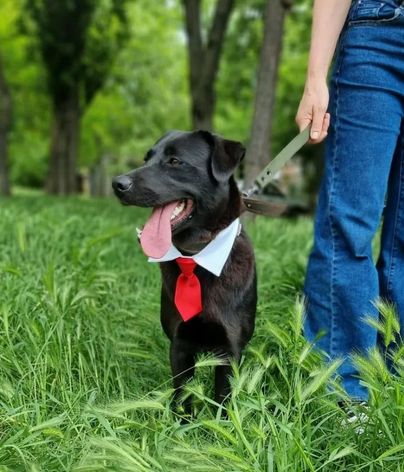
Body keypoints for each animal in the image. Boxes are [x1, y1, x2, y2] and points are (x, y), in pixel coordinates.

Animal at [112, 131, 256, 412]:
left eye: (175, 161)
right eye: (146, 158)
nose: (117, 184)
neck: (195, 257)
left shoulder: (230, 350)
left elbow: (223, 400)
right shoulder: (179, 345)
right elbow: (183, 396)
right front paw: (182, 422)